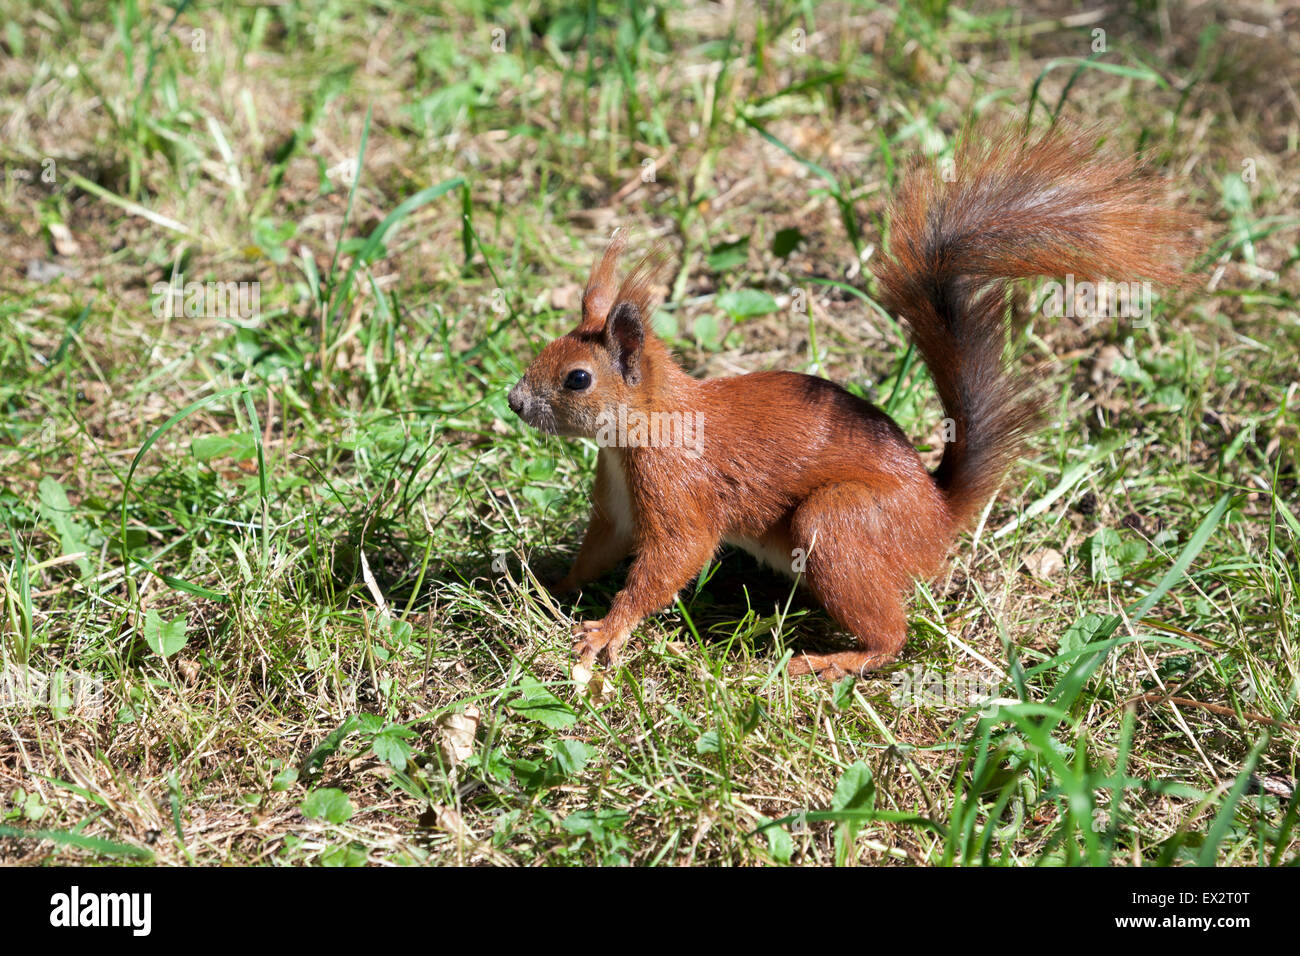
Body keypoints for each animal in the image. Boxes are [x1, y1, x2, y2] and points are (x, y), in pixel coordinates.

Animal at [504, 127, 1196, 681]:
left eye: (577, 379)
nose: (513, 401)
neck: (645, 426)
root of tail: (936, 516)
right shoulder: (618, 499)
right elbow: (601, 547)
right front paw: (549, 585)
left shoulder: (678, 487)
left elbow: (672, 559)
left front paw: (606, 630)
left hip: (840, 524)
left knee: (893, 633)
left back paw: (833, 662)